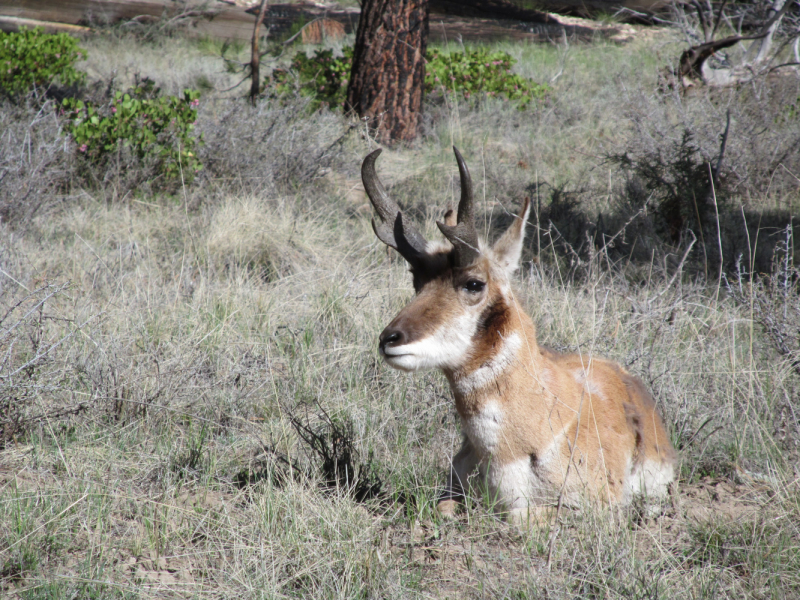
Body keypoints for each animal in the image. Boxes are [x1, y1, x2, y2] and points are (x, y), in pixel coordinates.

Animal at [362, 148, 676, 524]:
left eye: (474, 283)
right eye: (416, 280)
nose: (390, 339)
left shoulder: (593, 508)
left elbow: (520, 515)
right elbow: (445, 508)